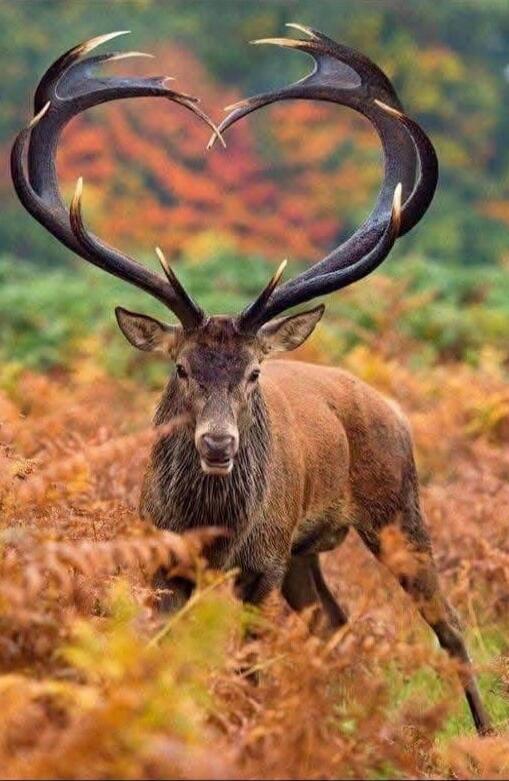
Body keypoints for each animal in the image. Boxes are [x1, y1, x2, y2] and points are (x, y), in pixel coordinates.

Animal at [11, 26, 491, 735]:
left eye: (255, 371)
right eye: (181, 367)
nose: (219, 443)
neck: (212, 528)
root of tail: (391, 406)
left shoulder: (260, 562)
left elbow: (249, 670)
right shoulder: (163, 558)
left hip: (396, 507)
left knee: (449, 624)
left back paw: (482, 734)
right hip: (305, 550)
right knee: (332, 621)